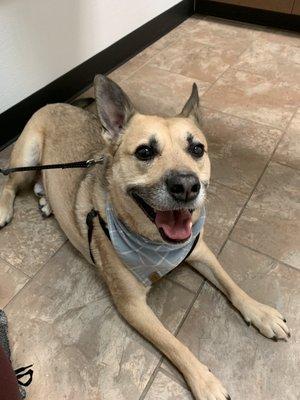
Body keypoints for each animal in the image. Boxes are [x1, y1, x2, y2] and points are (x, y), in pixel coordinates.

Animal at [0, 76, 290, 400]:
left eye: (197, 149)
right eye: (145, 153)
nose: (187, 186)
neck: (156, 244)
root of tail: (56, 103)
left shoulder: (200, 251)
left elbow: (231, 283)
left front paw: (260, 312)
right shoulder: (133, 306)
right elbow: (174, 344)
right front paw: (205, 381)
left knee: (38, 183)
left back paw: (46, 201)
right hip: (27, 157)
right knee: (10, 182)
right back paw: (4, 209)